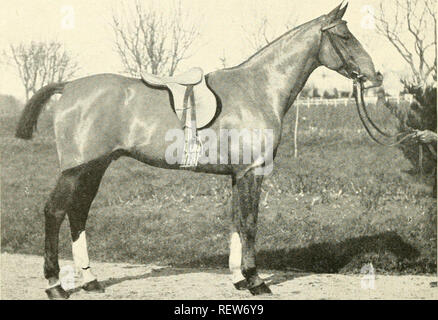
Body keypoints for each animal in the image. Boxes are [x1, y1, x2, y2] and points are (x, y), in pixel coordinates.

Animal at [15, 2, 382, 298]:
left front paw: (238, 279)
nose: (375, 76)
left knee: (78, 212)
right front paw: (256, 280)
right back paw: (56, 285)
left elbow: (235, 222)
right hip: (76, 170)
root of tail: (68, 87)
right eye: (345, 37)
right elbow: (249, 223)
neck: (258, 89)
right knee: (54, 212)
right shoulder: (252, 172)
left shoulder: (237, 175)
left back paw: (91, 281)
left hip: (96, 167)